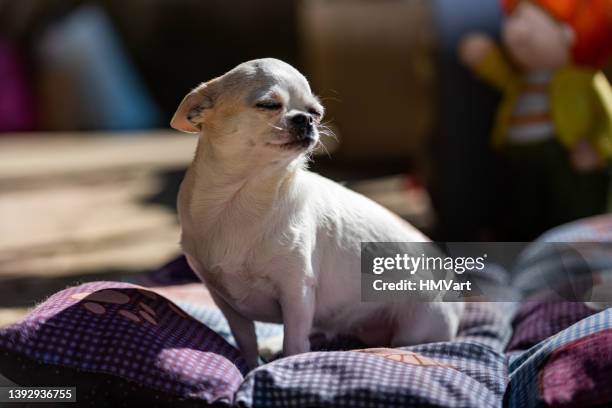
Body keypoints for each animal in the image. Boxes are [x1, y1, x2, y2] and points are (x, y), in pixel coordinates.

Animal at [170, 59, 462, 368]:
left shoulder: (297, 292)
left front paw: (287, 365)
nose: (305, 120)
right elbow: (247, 342)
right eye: (268, 104)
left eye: (315, 113)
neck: (243, 197)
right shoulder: (226, 302)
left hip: (416, 328)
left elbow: (295, 343)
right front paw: (250, 368)